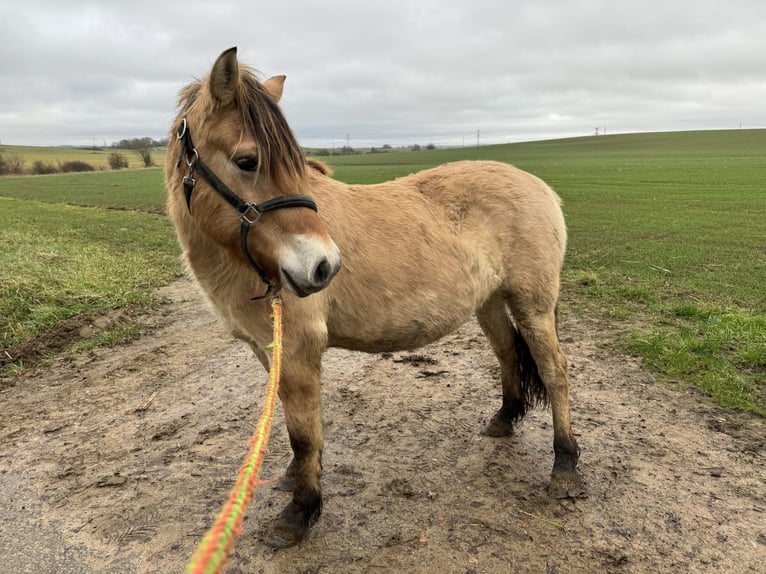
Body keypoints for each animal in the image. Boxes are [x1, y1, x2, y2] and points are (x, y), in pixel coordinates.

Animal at [166, 47, 588, 552]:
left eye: (293, 163)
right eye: (247, 161)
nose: (324, 267)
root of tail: (540, 187)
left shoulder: (299, 352)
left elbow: (304, 433)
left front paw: (300, 512)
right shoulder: (271, 350)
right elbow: (292, 424)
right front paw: (293, 479)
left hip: (533, 305)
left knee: (554, 371)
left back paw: (565, 467)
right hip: (488, 303)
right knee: (507, 352)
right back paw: (504, 419)